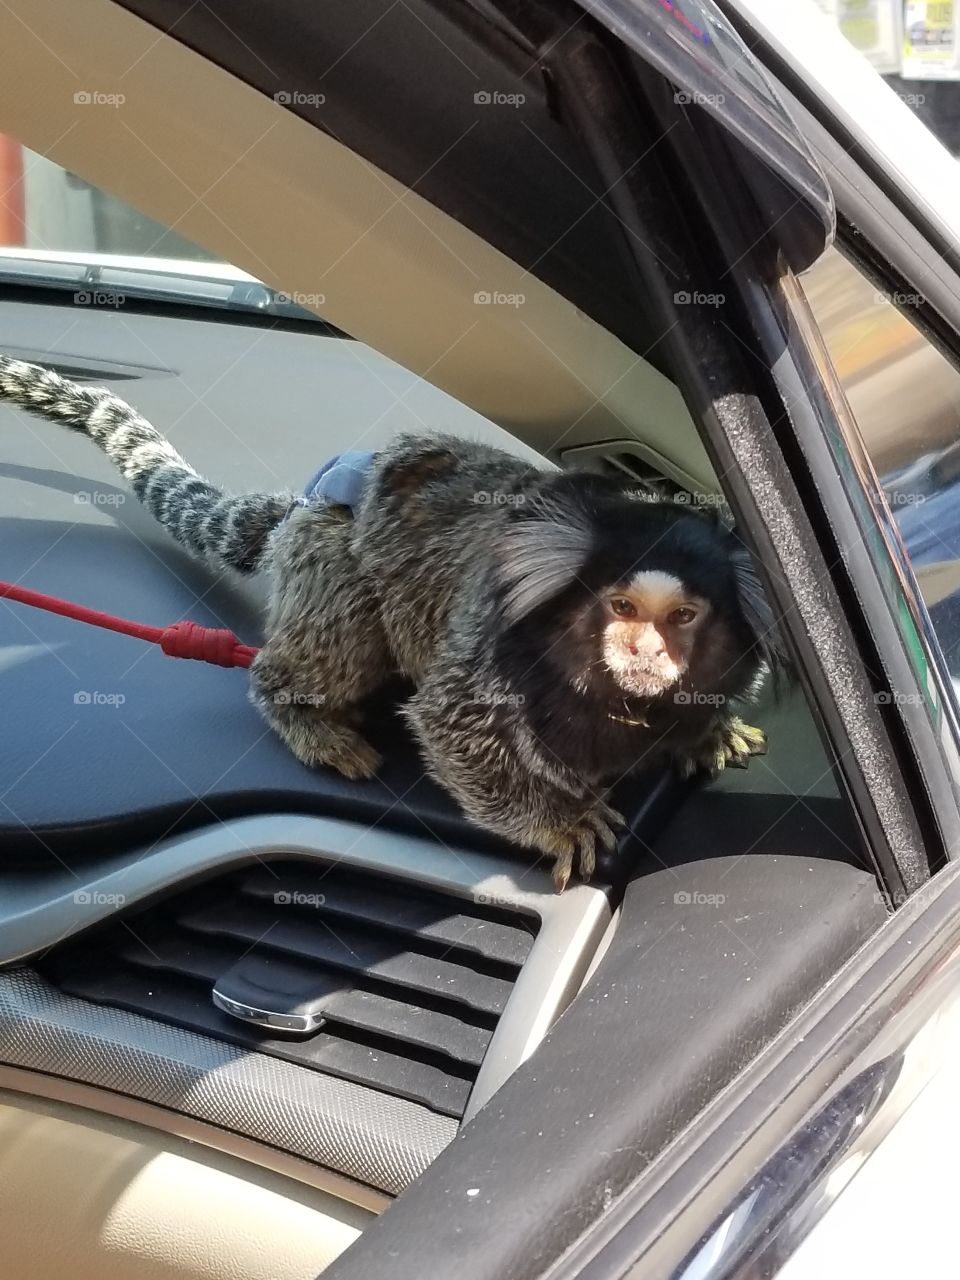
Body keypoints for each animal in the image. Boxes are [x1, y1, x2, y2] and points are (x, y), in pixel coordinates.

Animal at [0, 354, 780, 890]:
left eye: (683, 616)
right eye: (621, 607)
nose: (645, 651)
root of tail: (312, 499)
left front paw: (709, 732)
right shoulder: (498, 650)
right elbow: (454, 725)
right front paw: (559, 820)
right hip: (329, 561)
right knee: (325, 651)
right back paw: (305, 712)